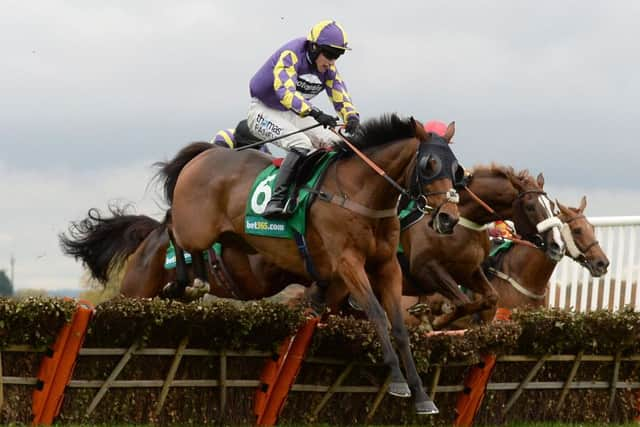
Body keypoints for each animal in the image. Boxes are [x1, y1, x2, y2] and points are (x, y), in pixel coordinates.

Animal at [400, 166, 564, 330]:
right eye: (530, 207)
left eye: (553, 207)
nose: (558, 245)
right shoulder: (426, 267)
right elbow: (464, 302)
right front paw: (437, 320)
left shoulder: (469, 271)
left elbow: (490, 298)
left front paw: (435, 319)